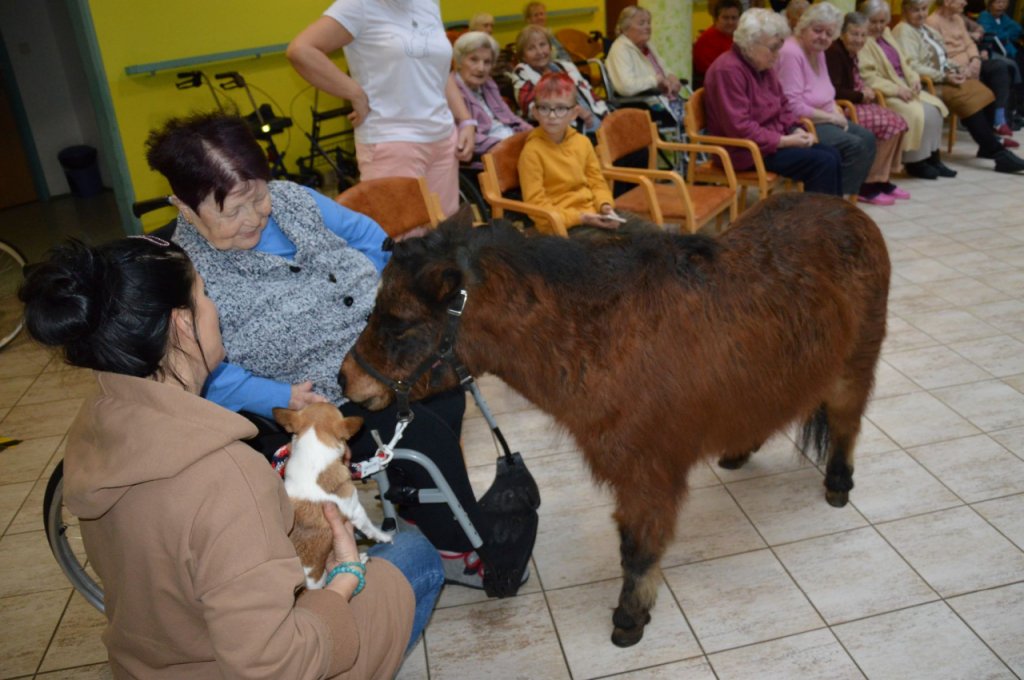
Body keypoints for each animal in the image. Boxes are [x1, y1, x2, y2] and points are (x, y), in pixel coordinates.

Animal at [338, 192, 890, 647]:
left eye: (399, 324)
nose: (345, 381)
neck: (598, 333)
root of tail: (849, 211)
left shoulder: (646, 471)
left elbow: (637, 549)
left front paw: (630, 617)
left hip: (856, 361)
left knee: (847, 421)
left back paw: (838, 481)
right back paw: (739, 450)